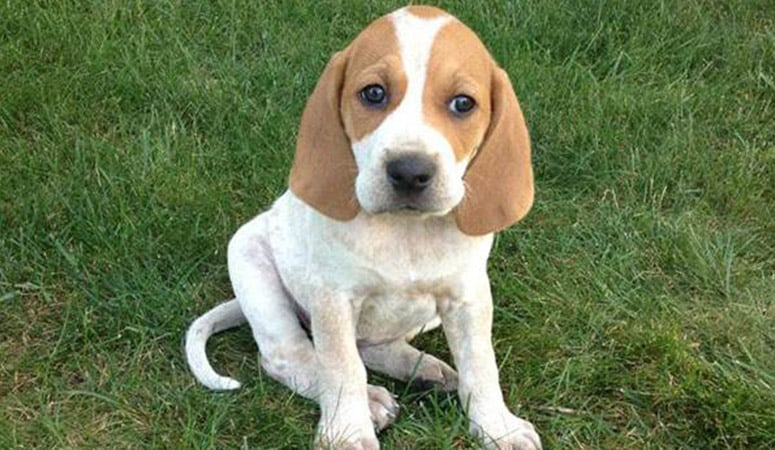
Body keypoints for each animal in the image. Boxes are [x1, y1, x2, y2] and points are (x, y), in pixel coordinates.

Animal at [186, 4, 544, 450]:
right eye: (374, 94)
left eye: (463, 103)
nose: (409, 171)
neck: (405, 232)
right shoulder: (333, 298)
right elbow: (342, 368)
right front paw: (347, 432)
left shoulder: (468, 295)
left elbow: (480, 365)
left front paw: (497, 426)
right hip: (250, 260)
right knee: (291, 357)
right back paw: (372, 399)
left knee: (374, 345)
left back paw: (424, 369)